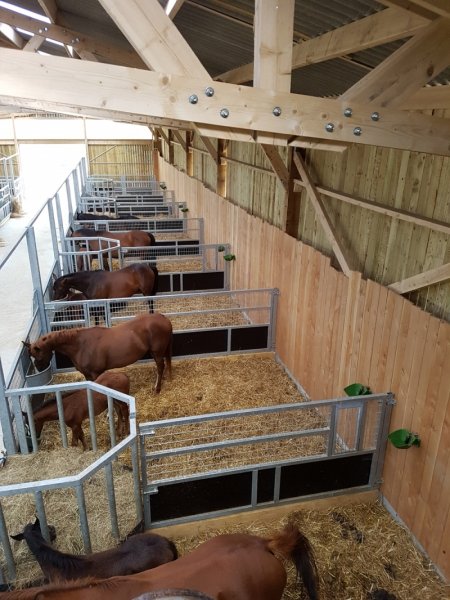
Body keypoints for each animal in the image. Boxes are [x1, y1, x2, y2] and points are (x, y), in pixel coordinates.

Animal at [23, 313, 172, 393]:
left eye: (38, 356)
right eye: (30, 356)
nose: (40, 369)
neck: (80, 345)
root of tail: (164, 318)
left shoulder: (96, 374)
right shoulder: (87, 375)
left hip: (157, 352)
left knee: (160, 366)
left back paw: (157, 388)